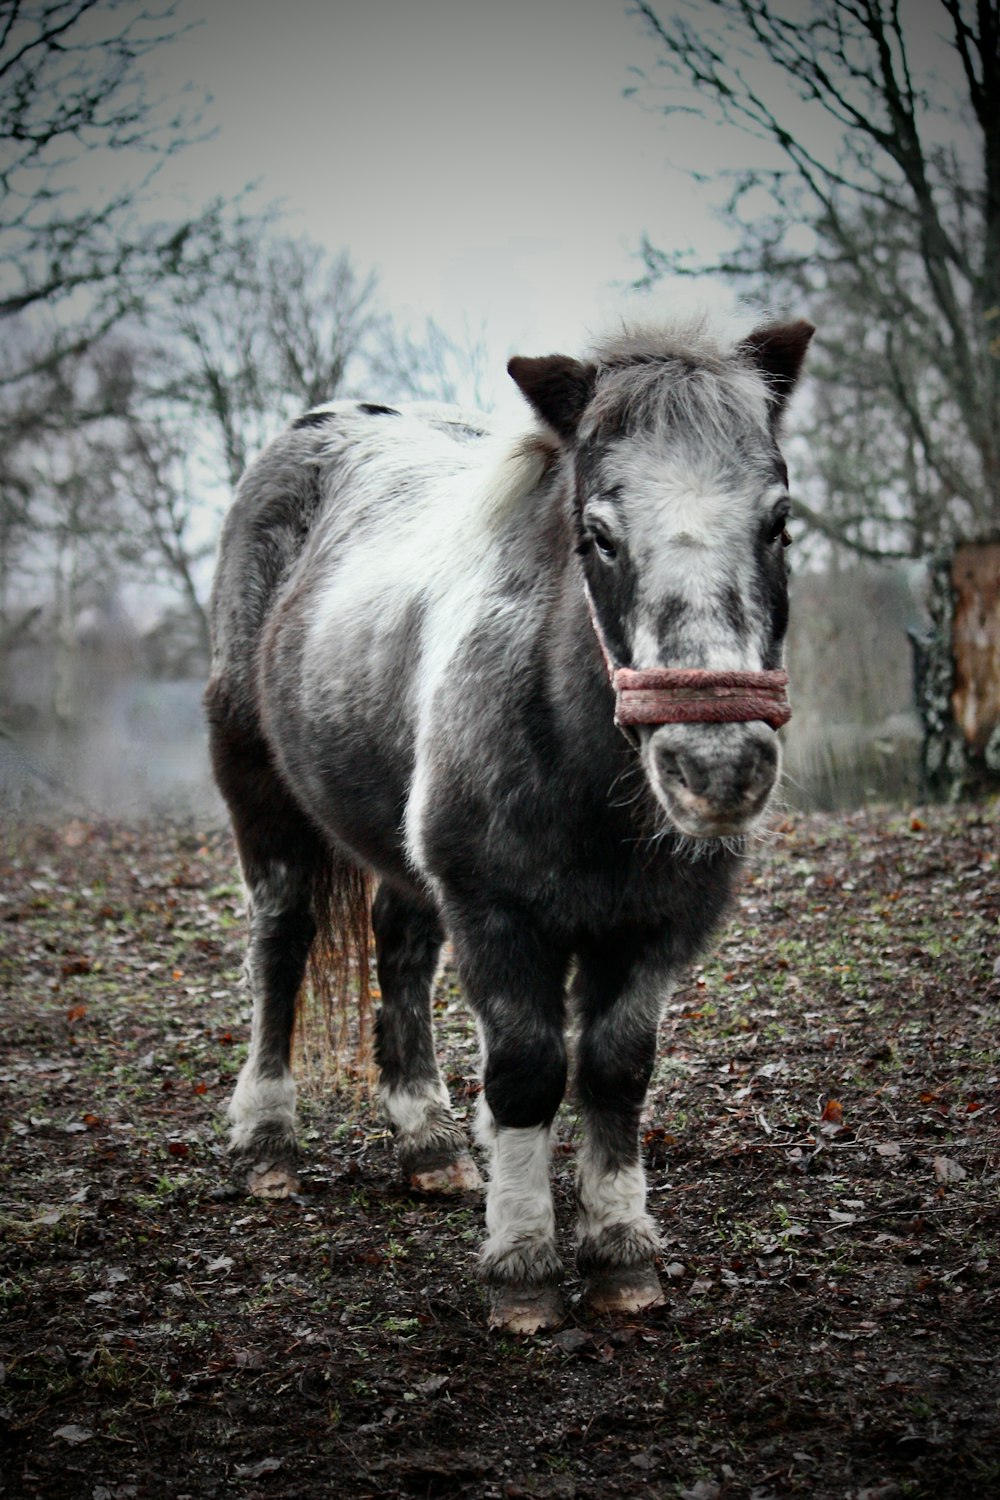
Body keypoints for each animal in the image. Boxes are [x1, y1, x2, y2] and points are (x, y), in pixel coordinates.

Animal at [205, 310, 815, 1332]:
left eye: (779, 522)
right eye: (598, 535)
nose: (716, 767)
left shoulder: (656, 927)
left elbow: (615, 1069)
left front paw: (621, 1254)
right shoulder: (496, 915)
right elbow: (528, 1075)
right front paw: (524, 1265)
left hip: (404, 854)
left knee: (400, 955)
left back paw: (428, 1144)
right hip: (262, 798)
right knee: (281, 946)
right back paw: (268, 1144)